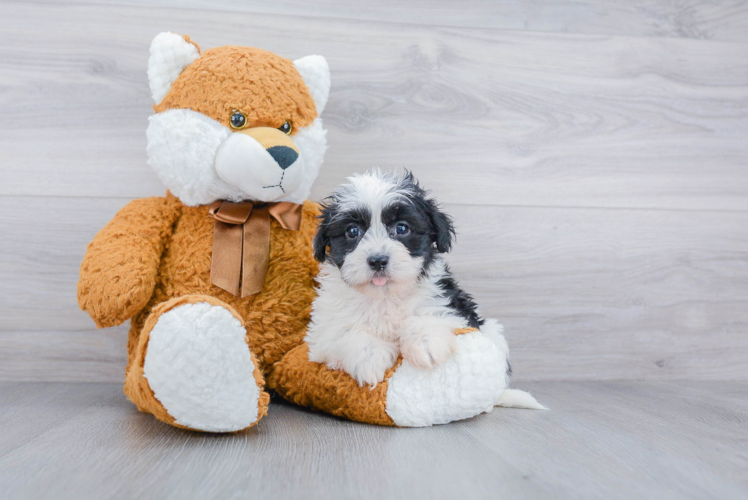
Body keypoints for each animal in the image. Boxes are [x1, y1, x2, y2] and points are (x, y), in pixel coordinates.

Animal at [306, 169, 512, 386]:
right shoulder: (322, 334)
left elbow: (431, 314)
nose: (378, 260)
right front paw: (370, 358)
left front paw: (426, 341)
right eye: (353, 231)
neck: (384, 297)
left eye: (402, 228)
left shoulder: (452, 305)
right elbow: (345, 333)